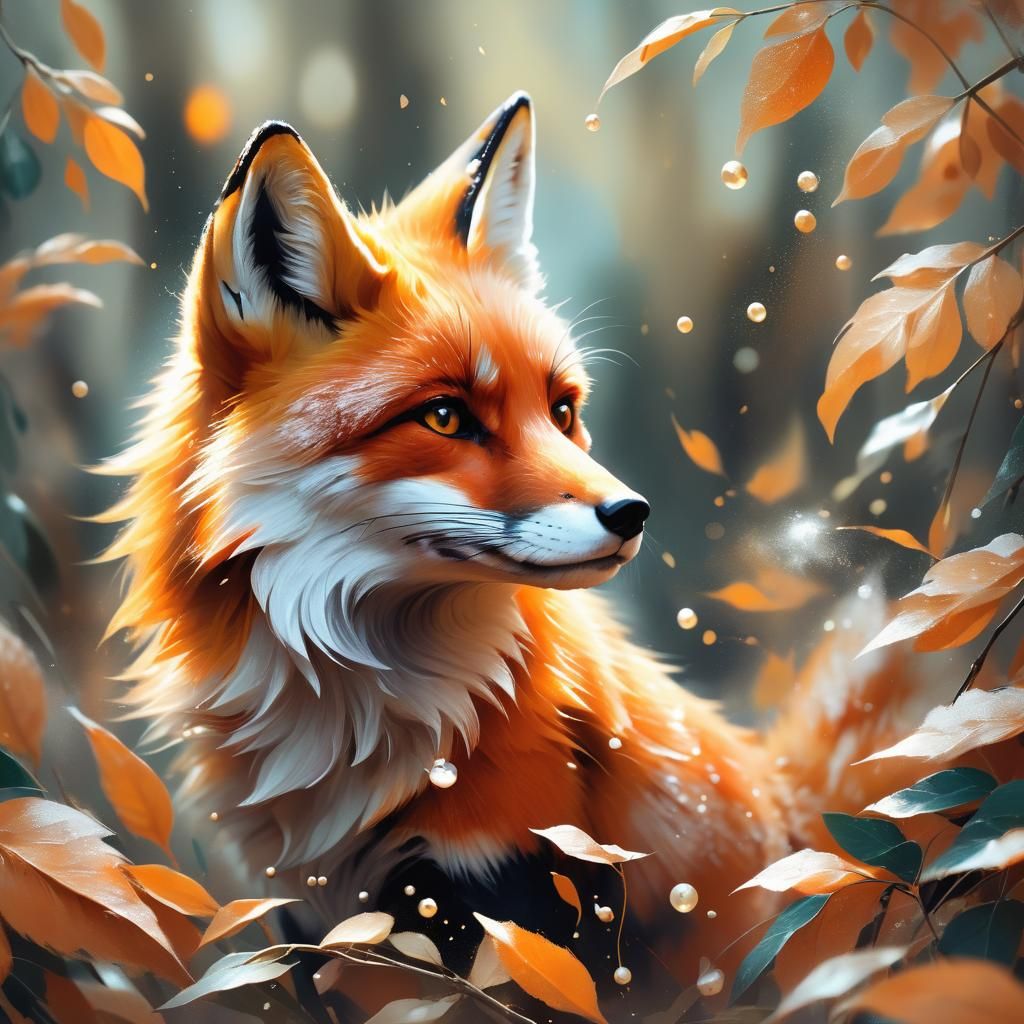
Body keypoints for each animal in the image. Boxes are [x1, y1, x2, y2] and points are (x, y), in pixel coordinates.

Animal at [101, 92, 917, 1007]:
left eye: (562, 411)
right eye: (446, 416)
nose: (632, 513)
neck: (361, 729)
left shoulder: (523, 889)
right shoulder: (312, 918)